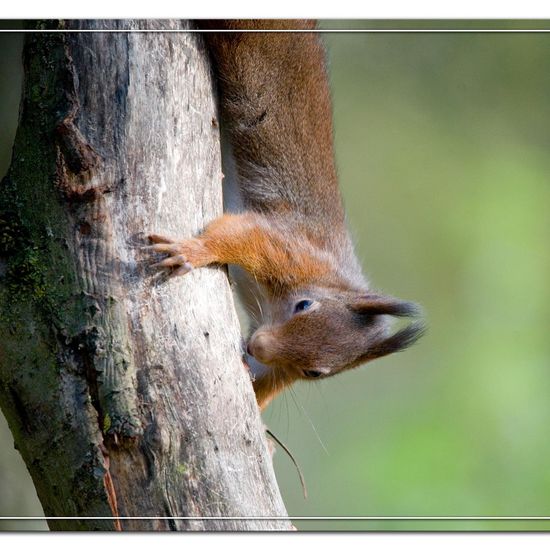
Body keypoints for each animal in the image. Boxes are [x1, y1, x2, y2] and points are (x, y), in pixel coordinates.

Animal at [148, 20, 426, 410]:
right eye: (303, 305)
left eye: (315, 372)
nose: (257, 346)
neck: (330, 280)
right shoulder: (290, 248)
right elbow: (241, 235)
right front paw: (192, 252)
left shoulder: (278, 368)